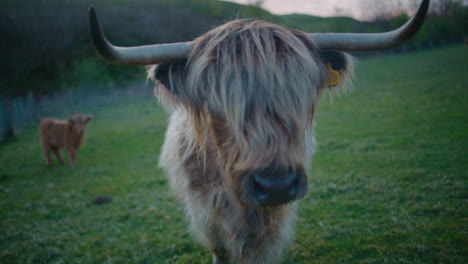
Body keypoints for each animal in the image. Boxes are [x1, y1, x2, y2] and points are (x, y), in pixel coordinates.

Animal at [88, 1, 432, 262]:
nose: (276, 185)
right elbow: (221, 249)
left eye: (303, 95)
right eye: (214, 102)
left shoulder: (274, 221)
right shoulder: (206, 213)